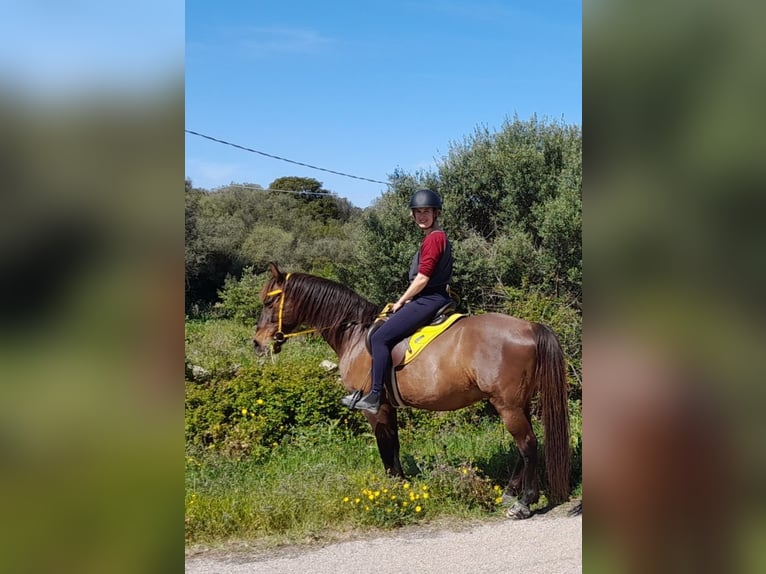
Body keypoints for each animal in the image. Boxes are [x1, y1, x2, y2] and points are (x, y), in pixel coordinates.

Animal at [252, 266, 568, 520]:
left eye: (269, 301)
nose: (257, 343)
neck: (355, 335)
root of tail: (530, 327)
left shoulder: (374, 409)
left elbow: (385, 448)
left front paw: (393, 490)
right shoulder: (388, 409)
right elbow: (394, 445)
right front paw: (402, 487)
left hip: (508, 405)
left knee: (527, 445)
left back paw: (524, 503)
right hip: (517, 403)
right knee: (524, 447)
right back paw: (510, 492)